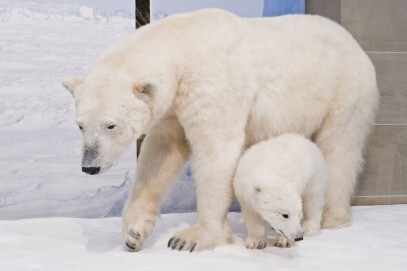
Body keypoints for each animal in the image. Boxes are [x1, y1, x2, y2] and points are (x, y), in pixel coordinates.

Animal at [63, 10, 380, 253]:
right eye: (80, 125)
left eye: (110, 124)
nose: (90, 166)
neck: (184, 44)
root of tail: (352, 41)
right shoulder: (172, 108)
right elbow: (160, 157)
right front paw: (132, 233)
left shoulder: (212, 85)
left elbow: (216, 150)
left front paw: (191, 238)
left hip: (343, 90)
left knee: (338, 149)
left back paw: (332, 217)